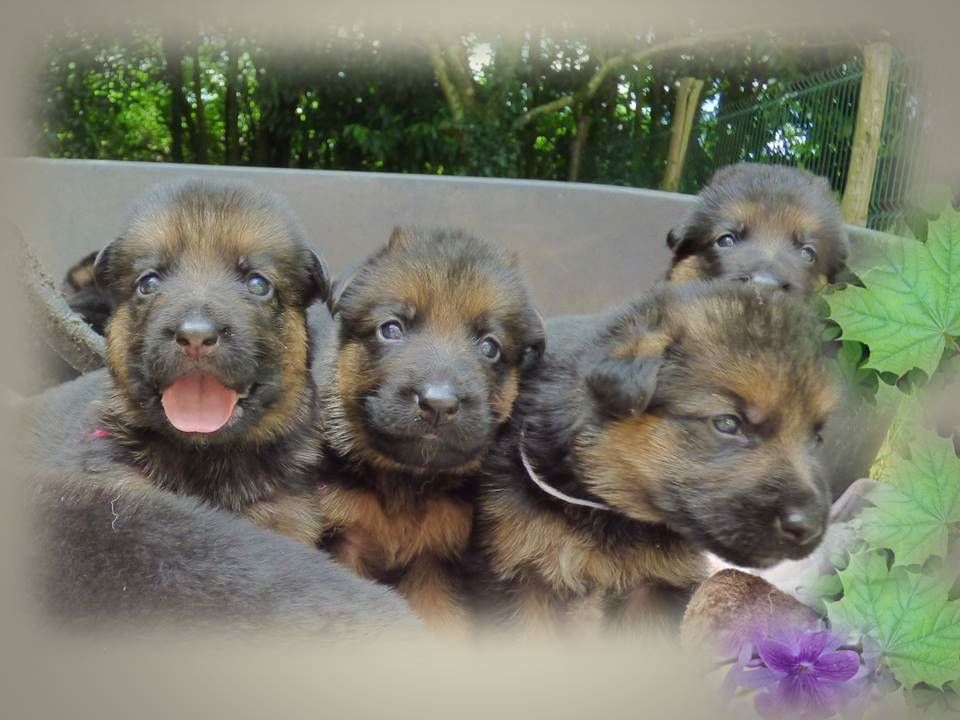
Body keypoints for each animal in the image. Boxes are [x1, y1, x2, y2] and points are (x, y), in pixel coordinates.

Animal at [476, 282, 836, 632]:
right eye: (727, 423)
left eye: (817, 438)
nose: (809, 528)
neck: (608, 508)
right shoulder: (524, 576)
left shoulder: (655, 588)